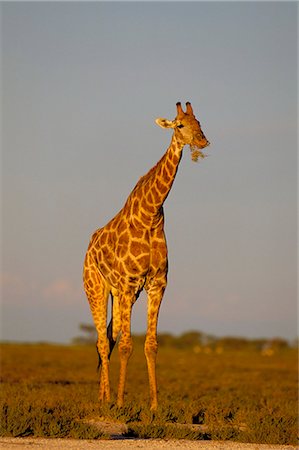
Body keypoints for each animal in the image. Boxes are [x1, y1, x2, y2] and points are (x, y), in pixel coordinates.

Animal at [83, 102, 210, 412]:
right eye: (180, 125)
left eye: (200, 123)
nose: (203, 142)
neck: (151, 216)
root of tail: (89, 247)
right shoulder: (130, 285)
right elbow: (127, 344)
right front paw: (120, 403)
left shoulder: (156, 285)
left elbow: (150, 345)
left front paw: (154, 406)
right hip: (96, 287)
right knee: (103, 341)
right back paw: (106, 401)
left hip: (117, 294)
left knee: (107, 338)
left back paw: (103, 397)